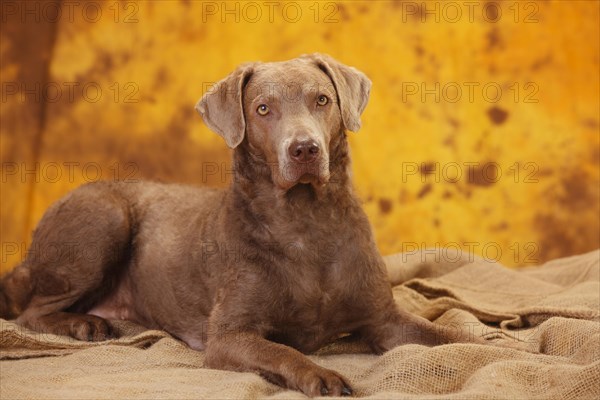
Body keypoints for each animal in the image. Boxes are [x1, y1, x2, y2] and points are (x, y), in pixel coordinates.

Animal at [0, 54, 488, 396]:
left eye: (322, 100)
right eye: (263, 108)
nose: (304, 148)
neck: (305, 222)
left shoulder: (384, 319)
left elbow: (444, 334)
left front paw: (494, 343)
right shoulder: (229, 336)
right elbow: (281, 349)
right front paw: (321, 375)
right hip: (104, 217)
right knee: (30, 312)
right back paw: (83, 325)